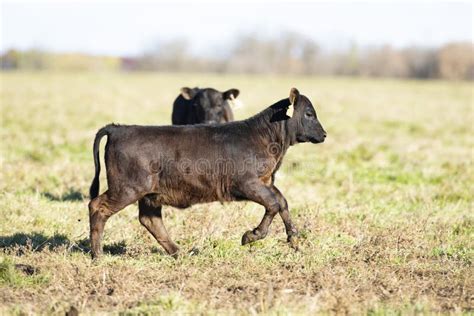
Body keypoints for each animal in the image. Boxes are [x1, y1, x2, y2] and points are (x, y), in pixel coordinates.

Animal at [88, 87, 326, 258]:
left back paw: (179, 252)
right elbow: (274, 204)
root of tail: (118, 128)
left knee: (150, 220)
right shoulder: (248, 184)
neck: (263, 136)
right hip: (127, 188)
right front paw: (251, 236)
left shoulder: (266, 182)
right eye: (308, 113)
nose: (324, 134)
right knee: (97, 206)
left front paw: (294, 240)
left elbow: (282, 202)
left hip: (149, 195)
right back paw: (97, 255)